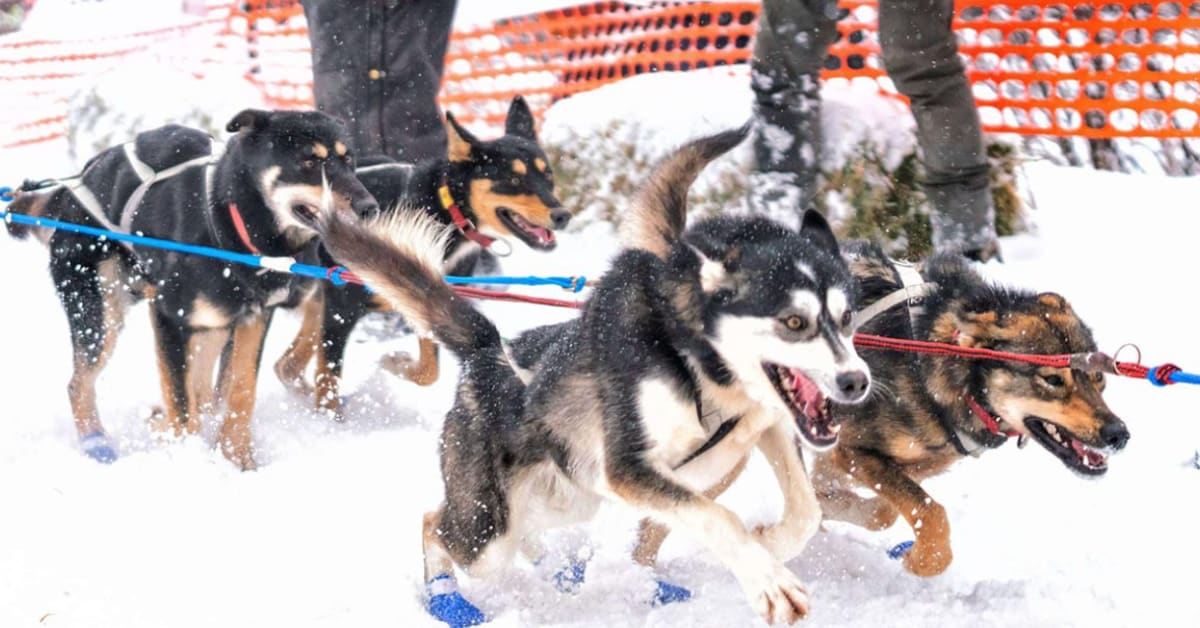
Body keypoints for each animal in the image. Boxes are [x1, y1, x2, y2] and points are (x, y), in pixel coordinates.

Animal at [9, 110, 374, 468]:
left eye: (349, 160)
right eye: (309, 160)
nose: (369, 207)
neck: (233, 225)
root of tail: (77, 186)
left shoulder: (253, 319)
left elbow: (241, 389)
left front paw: (238, 459)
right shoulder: (168, 317)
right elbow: (182, 405)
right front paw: (190, 456)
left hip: (210, 324)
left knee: (204, 390)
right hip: (100, 315)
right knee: (79, 383)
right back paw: (97, 444)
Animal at [276, 97, 566, 417]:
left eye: (547, 175)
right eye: (513, 179)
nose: (562, 215)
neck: (442, 214)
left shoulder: (426, 301)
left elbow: (430, 371)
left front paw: (395, 362)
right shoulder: (343, 307)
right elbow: (329, 377)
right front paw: (329, 421)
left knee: (286, 366)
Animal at [633, 242, 1128, 581]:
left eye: (1100, 379)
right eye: (1052, 381)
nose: (1118, 433)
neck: (933, 354)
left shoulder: (851, 461)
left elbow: (868, 508)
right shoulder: (852, 452)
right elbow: (926, 511)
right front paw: (923, 559)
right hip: (721, 458)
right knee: (652, 518)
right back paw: (643, 582)